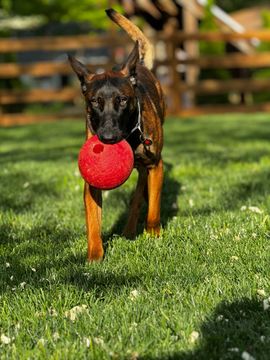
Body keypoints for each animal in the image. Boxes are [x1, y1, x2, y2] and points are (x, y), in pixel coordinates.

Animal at [67, 9, 165, 262]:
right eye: (95, 102)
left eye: (122, 100)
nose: (108, 138)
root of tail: (138, 66)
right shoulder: (91, 185)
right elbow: (93, 223)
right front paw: (94, 255)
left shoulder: (156, 165)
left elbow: (153, 209)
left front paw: (153, 234)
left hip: (146, 167)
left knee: (139, 194)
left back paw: (133, 228)